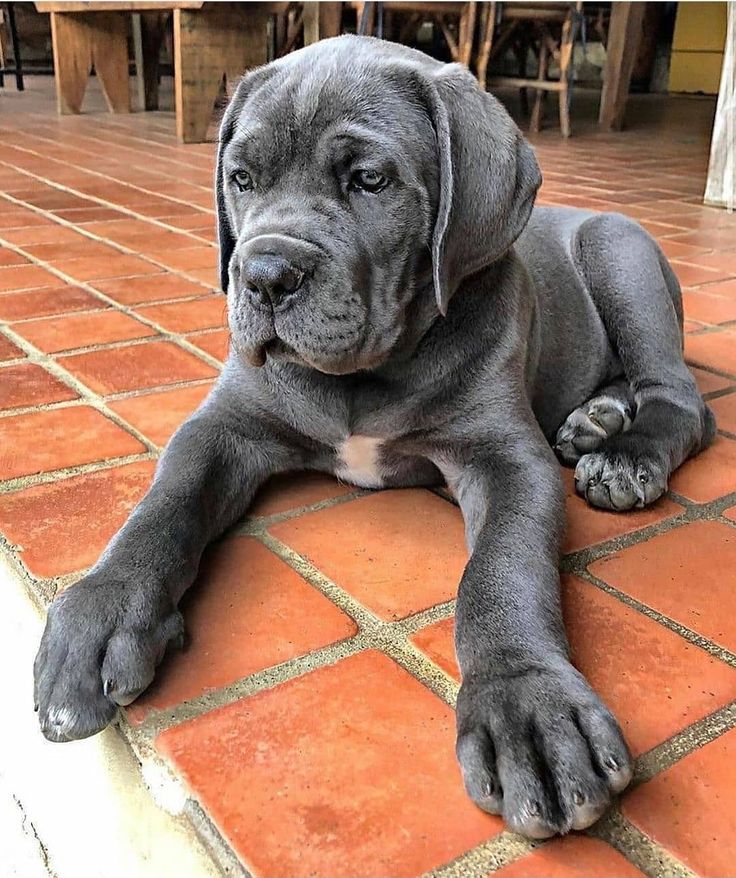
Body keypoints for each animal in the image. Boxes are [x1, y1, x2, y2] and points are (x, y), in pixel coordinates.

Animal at [33, 36, 712, 844]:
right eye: (240, 178)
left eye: (368, 180)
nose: (262, 275)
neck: (365, 377)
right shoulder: (224, 425)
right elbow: (164, 503)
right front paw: (101, 609)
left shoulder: (509, 460)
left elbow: (502, 571)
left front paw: (527, 703)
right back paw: (596, 417)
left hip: (620, 252)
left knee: (681, 397)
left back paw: (625, 454)